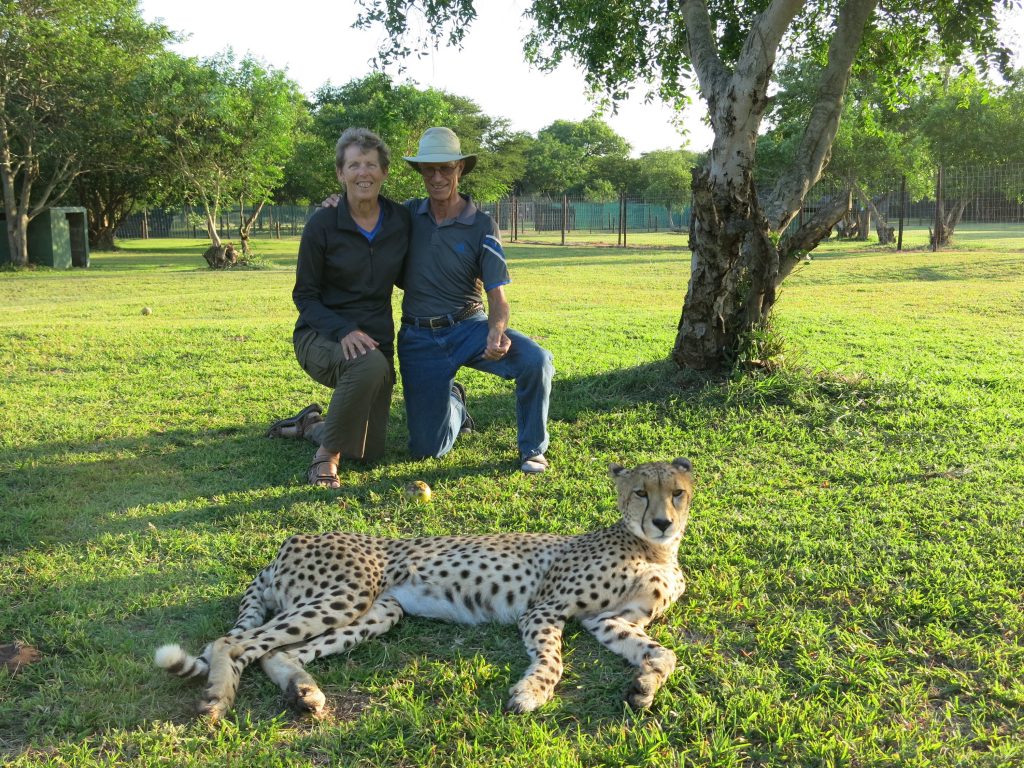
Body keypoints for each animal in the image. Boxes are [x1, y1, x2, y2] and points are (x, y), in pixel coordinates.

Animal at [153, 460, 696, 720]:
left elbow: (663, 653)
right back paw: (217, 700)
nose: (664, 522)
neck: (654, 550)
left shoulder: (608, 622)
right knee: (229, 642)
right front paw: (530, 693)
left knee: (275, 652)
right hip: (346, 593)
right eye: (640, 493)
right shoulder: (545, 609)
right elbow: (552, 660)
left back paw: (304, 692)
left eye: (678, 493)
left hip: (376, 612)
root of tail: (292, 539)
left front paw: (645, 686)